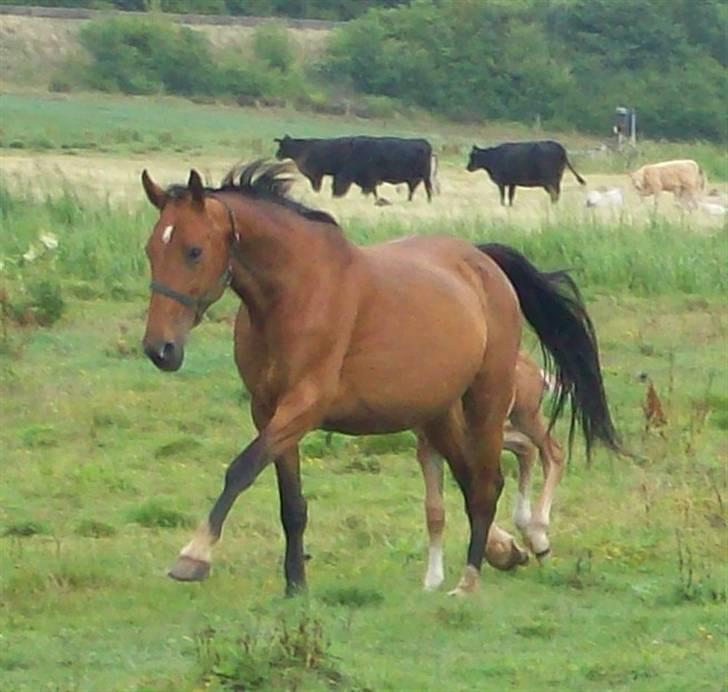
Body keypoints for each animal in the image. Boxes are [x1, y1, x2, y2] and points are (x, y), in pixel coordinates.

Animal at [139, 161, 616, 596]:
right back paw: (505, 550)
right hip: (438, 413)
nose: (160, 349)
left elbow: (240, 469)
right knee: (470, 478)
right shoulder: (268, 410)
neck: (294, 294)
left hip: (487, 398)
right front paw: (296, 585)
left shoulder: (303, 406)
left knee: (488, 481)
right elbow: (291, 503)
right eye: (150, 250)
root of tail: (483, 261)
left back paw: (472, 577)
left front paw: (195, 555)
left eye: (194, 251)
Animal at [272, 134, 436, 201]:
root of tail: (424, 142)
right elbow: (370, 190)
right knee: (413, 188)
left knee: (428, 188)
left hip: (425, 176)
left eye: (282, 146)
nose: (277, 155)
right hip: (415, 178)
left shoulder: (316, 174)